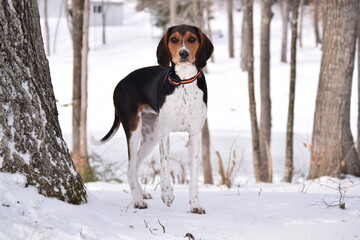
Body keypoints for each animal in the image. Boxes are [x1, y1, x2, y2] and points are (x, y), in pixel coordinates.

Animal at [95, 24, 214, 214]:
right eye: (173, 39)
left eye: (192, 39)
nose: (183, 53)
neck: (183, 82)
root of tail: (120, 83)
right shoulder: (165, 134)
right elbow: (164, 166)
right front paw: (167, 194)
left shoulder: (195, 135)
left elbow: (194, 175)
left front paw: (195, 204)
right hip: (134, 130)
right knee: (130, 167)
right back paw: (137, 201)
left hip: (151, 136)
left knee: (134, 166)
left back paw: (141, 194)